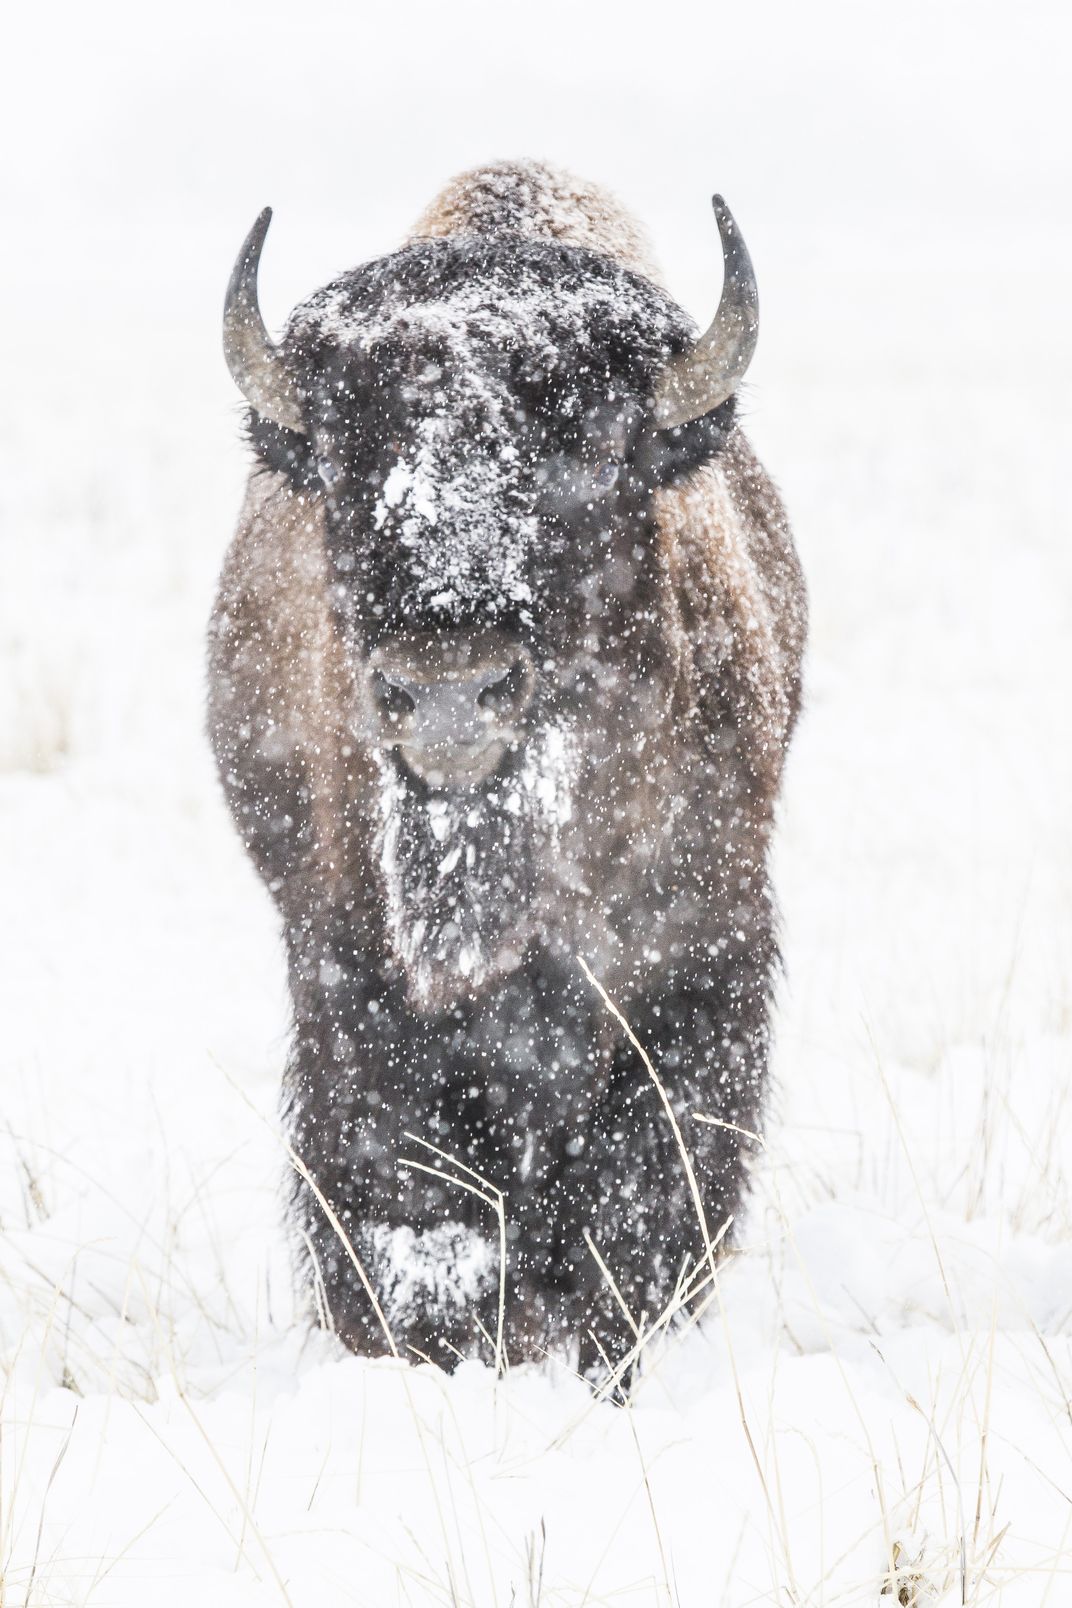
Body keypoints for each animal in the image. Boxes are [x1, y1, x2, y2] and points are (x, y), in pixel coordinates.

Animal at [208, 159, 803, 1370]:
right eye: (345, 458)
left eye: (589, 448)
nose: (446, 691)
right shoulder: (353, 981)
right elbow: (406, 1202)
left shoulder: (701, 964)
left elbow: (644, 1202)